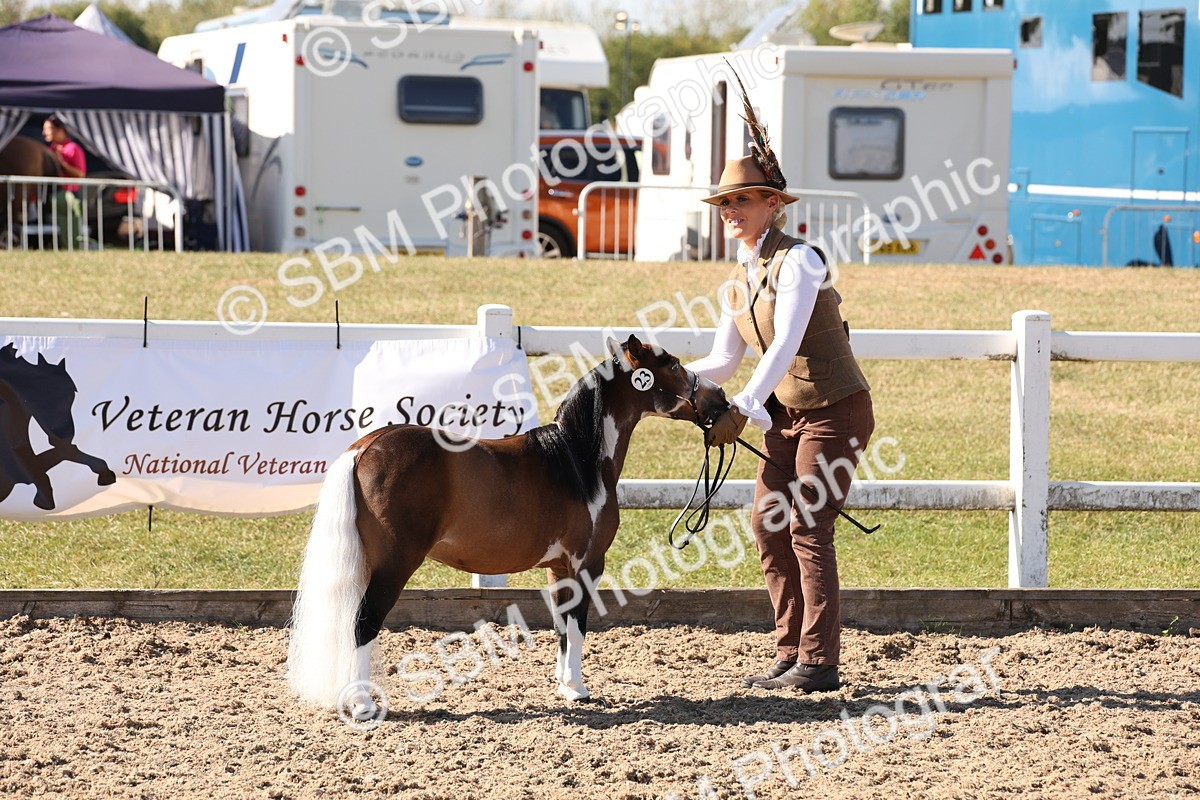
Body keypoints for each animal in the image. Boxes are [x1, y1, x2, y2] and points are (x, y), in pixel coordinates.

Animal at [287, 334, 728, 714]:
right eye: (673, 364)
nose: (719, 398)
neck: (577, 459)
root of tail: (365, 447)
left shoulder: (559, 569)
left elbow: (561, 625)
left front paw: (563, 686)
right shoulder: (587, 564)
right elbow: (579, 625)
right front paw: (579, 689)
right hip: (393, 567)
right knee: (363, 624)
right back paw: (363, 705)